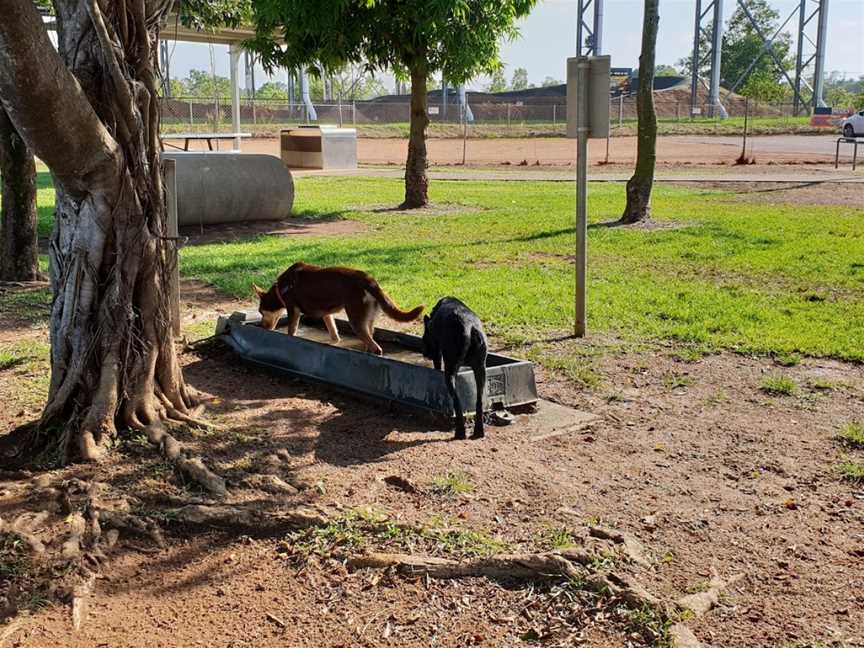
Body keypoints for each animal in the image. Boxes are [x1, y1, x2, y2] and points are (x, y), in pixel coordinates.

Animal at [251, 262, 424, 354]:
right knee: (370, 341)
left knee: (376, 348)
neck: (282, 288)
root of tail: (368, 280)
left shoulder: (294, 311)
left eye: (260, 312)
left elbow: (291, 332)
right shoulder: (327, 314)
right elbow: (334, 334)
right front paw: (334, 342)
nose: (262, 326)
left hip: (355, 320)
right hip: (366, 320)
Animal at [422, 298, 490, 440]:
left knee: (457, 403)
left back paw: (460, 432)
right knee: (479, 401)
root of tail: (468, 327)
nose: (424, 352)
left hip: (450, 371)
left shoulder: (437, 351)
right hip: (481, 370)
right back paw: (478, 432)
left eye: (424, 337)